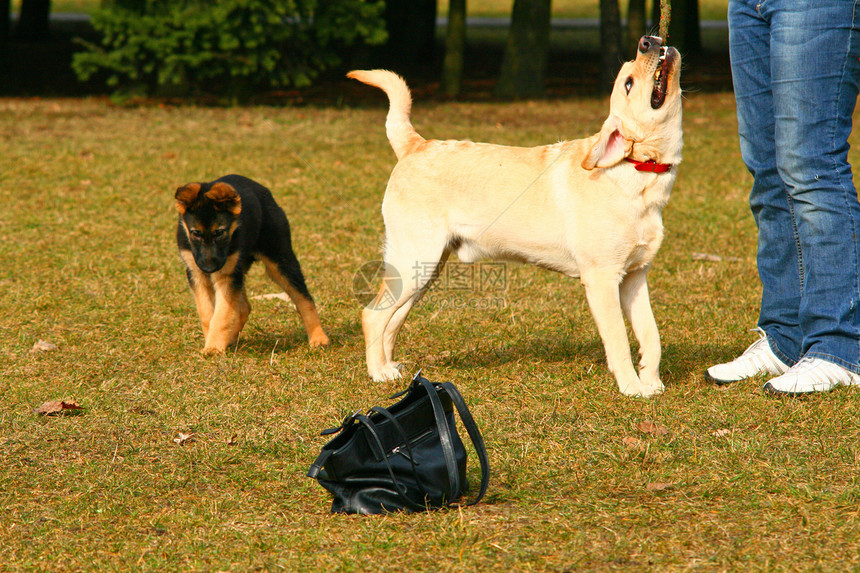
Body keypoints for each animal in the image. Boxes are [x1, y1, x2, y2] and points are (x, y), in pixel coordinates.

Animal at [175, 174, 330, 354]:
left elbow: (221, 316)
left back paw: (318, 337)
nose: (209, 268)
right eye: (196, 233)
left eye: (220, 232)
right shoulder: (196, 274)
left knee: (304, 299)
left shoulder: (227, 275)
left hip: (280, 260)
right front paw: (213, 342)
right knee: (244, 307)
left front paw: (214, 347)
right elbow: (208, 314)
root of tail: (261, 189)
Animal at [350, 35, 680, 398]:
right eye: (628, 82)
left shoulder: (635, 277)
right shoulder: (602, 279)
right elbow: (619, 340)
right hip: (413, 263)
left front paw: (652, 382)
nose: (648, 41)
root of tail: (416, 145)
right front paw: (632, 387)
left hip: (424, 270)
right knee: (373, 315)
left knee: (393, 318)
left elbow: (651, 335)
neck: (638, 172)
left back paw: (392, 368)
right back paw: (378, 372)